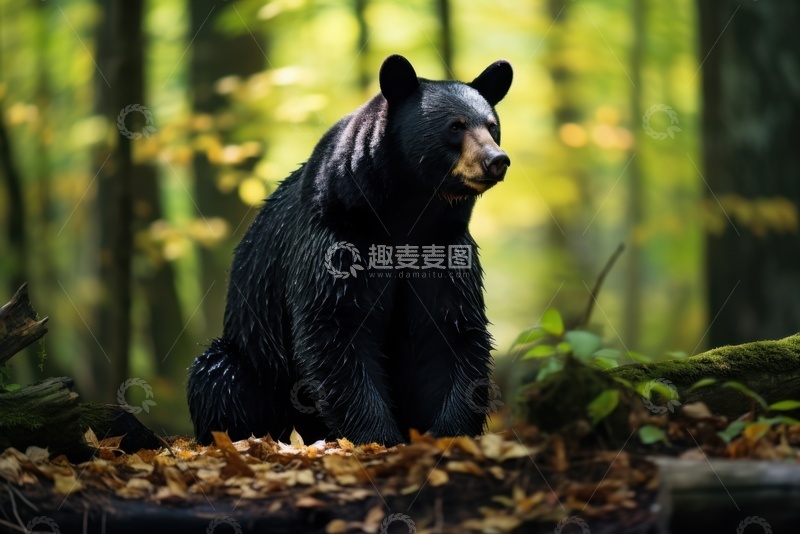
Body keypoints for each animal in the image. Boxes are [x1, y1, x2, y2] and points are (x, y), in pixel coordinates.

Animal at [187, 54, 512, 446]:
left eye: (492, 126)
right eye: (455, 126)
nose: (497, 159)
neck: (406, 214)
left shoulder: (443, 245)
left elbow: (451, 329)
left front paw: (448, 432)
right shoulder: (335, 237)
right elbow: (335, 327)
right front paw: (378, 436)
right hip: (255, 358)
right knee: (218, 376)